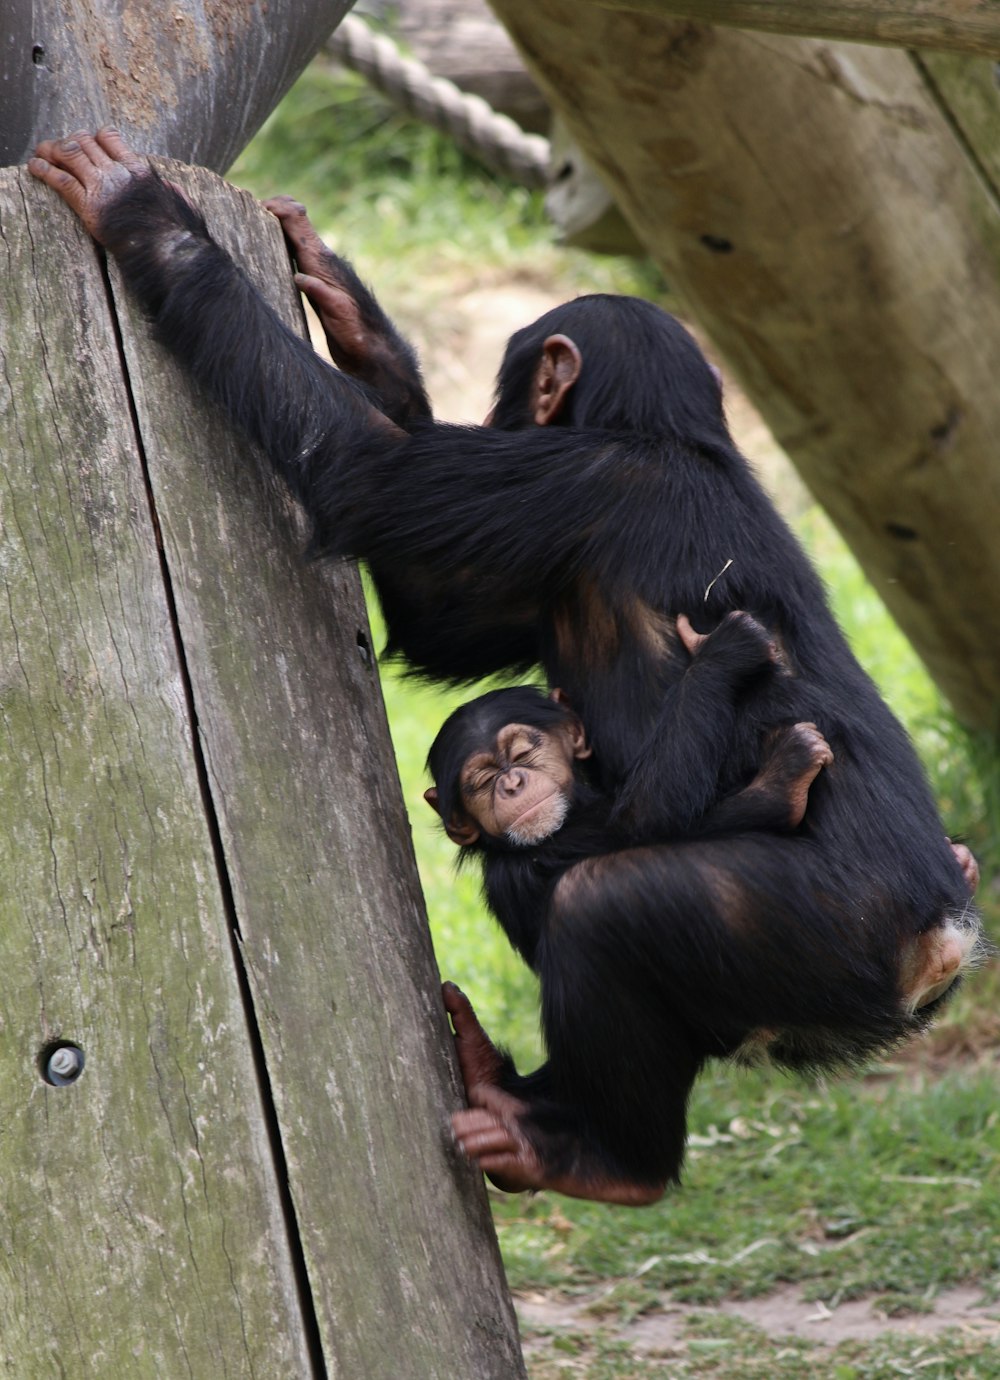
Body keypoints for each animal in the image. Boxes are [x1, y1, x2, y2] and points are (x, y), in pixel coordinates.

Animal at [33, 131, 982, 1197]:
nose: (499, 416)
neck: (669, 433)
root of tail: (945, 944)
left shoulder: (572, 484)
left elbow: (368, 472)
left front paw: (144, 213)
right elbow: (438, 618)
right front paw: (349, 313)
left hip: (827, 933)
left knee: (599, 906)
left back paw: (601, 1155)